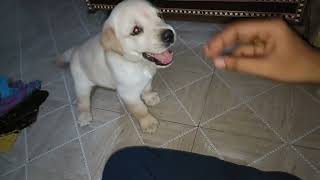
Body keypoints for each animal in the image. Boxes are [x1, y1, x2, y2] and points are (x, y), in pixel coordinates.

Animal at [59, 0, 176, 134]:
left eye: (159, 15)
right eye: (136, 30)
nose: (169, 35)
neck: (138, 63)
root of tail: (75, 50)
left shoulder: (147, 79)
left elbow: (147, 88)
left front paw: (149, 97)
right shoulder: (128, 94)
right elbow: (139, 109)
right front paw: (148, 122)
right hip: (81, 82)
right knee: (82, 101)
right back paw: (84, 116)